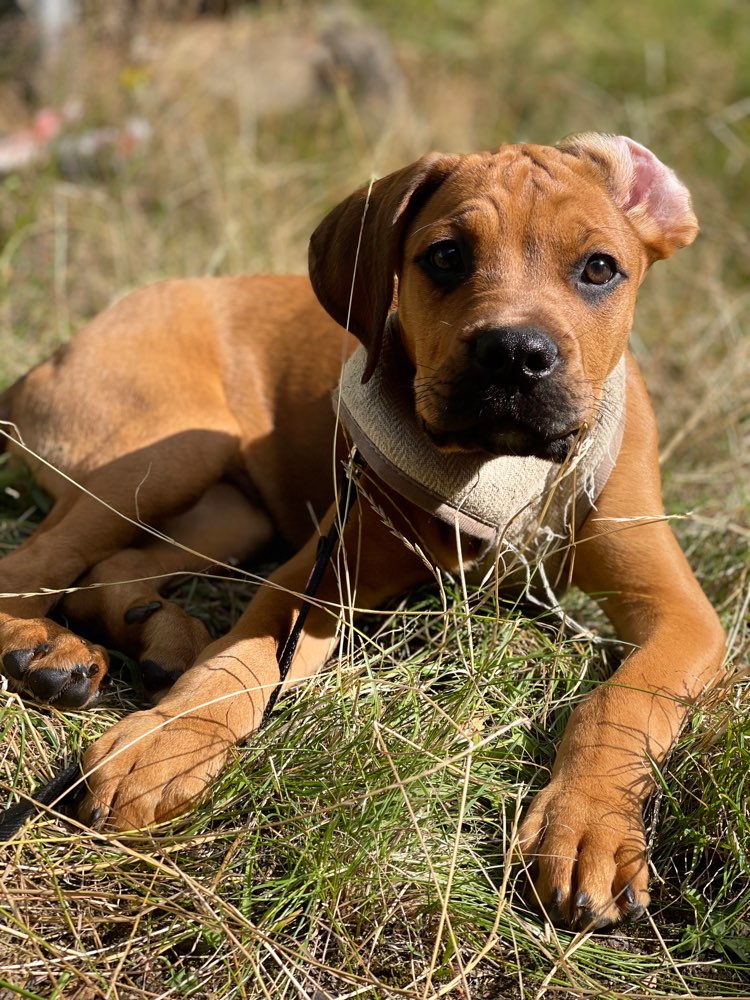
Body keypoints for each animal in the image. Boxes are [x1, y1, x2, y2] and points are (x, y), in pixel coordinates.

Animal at [0, 135, 728, 928]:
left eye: (599, 269)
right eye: (446, 256)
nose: (514, 354)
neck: (501, 476)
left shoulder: (681, 611)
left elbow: (625, 699)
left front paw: (585, 826)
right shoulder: (314, 578)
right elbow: (238, 667)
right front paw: (167, 741)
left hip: (230, 509)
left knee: (110, 570)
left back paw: (161, 636)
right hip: (169, 449)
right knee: (34, 560)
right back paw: (45, 647)